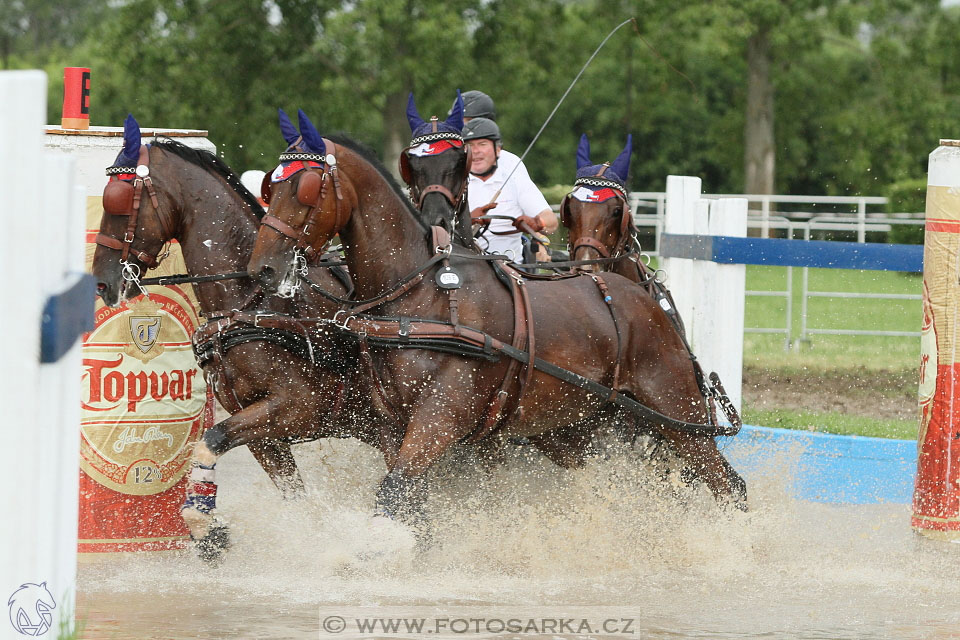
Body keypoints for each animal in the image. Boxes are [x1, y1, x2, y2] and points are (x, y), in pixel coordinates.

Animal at [91, 116, 382, 564]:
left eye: (119, 200)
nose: (102, 280)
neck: (258, 304)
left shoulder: (296, 409)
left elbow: (210, 440)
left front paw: (207, 527)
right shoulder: (262, 431)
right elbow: (291, 494)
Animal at [249, 107, 752, 524]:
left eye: (307, 188)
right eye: (271, 186)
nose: (263, 267)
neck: (421, 295)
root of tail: (643, 300)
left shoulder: (440, 418)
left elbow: (393, 493)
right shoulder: (395, 428)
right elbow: (409, 498)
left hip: (674, 410)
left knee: (727, 484)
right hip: (576, 428)